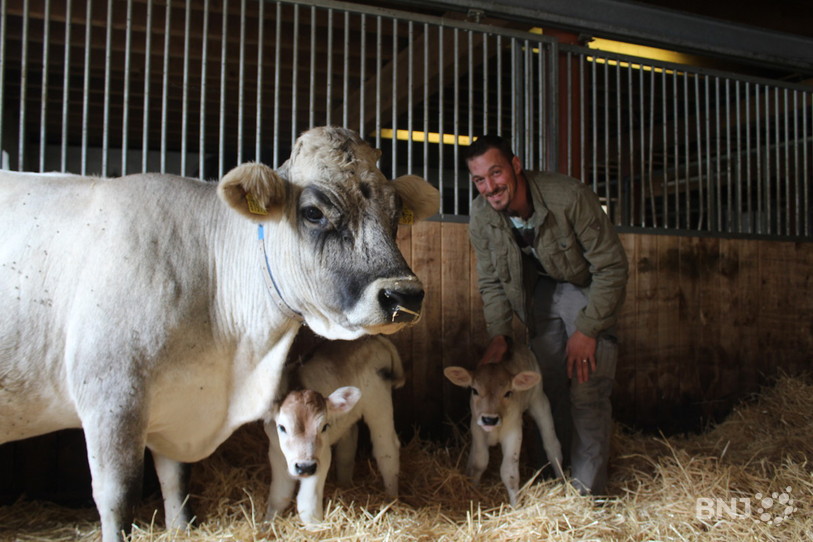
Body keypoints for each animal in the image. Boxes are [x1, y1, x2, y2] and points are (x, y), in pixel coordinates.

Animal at [264, 335, 404, 524]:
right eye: (282, 427)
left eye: (324, 426)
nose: (305, 467)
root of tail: (374, 337)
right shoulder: (275, 451)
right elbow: (278, 497)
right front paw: (266, 525)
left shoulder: (321, 456)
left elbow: (307, 505)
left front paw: (317, 528)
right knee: (348, 446)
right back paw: (345, 485)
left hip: (378, 403)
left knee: (387, 449)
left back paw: (391, 499)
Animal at [444, 344, 564, 506]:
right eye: (474, 390)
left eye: (508, 393)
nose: (489, 419)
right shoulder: (477, 428)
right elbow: (478, 462)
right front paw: (472, 489)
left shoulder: (513, 431)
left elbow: (509, 473)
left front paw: (515, 505)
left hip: (539, 401)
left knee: (552, 446)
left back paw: (562, 481)